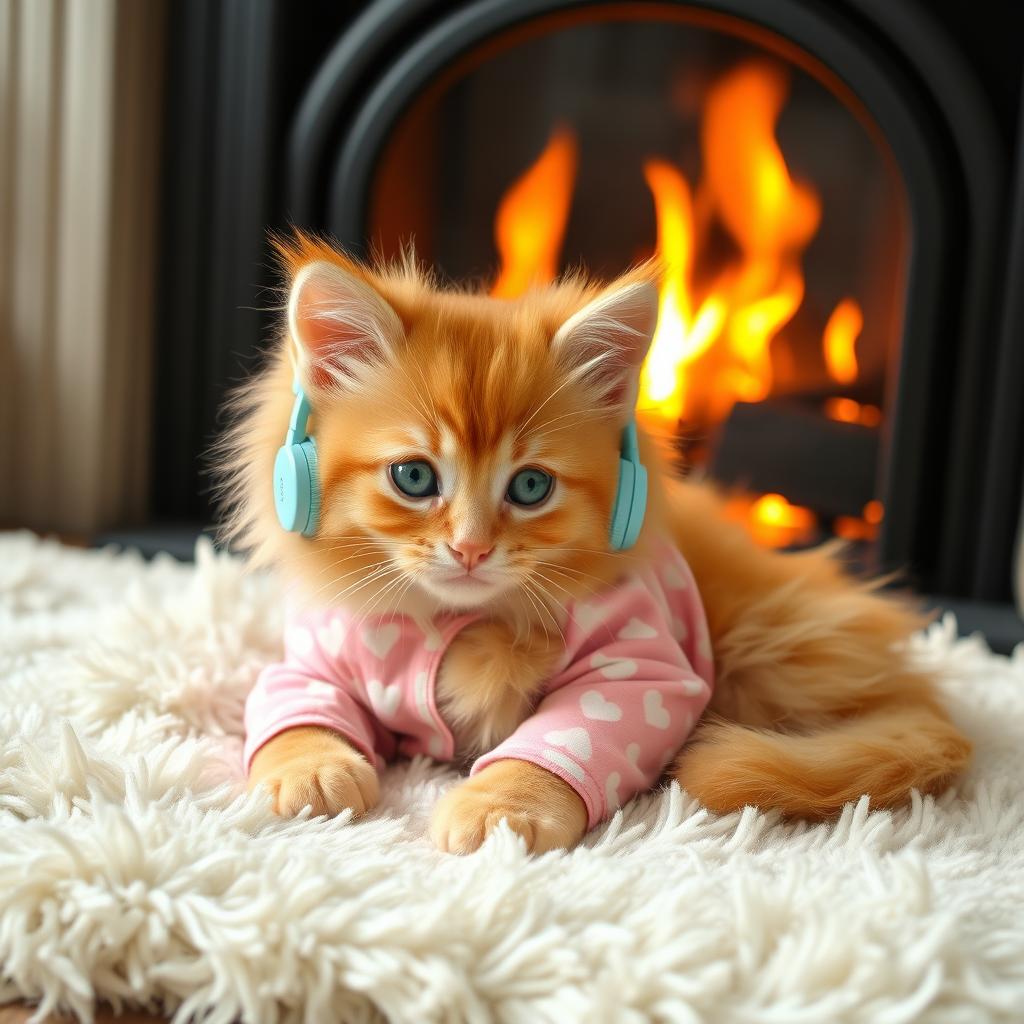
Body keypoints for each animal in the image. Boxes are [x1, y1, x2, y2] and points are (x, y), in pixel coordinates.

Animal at [220, 235, 970, 851]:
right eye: (414, 477)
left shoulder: (642, 671)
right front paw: (312, 770)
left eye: (530, 487)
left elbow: (563, 742)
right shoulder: (314, 658)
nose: (470, 549)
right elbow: (292, 712)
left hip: (765, 651)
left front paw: (503, 806)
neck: (450, 620)